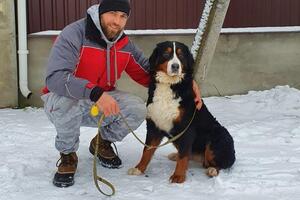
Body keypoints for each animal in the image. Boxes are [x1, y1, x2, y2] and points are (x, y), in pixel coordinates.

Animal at [127, 41, 236, 184]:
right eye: (166, 53)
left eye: (181, 55)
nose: (175, 66)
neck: (170, 85)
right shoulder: (153, 126)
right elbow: (147, 150)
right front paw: (139, 169)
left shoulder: (186, 127)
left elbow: (184, 155)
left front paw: (178, 176)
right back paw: (176, 156)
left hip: (218, 136)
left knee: (220, 164)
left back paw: (212, 170)